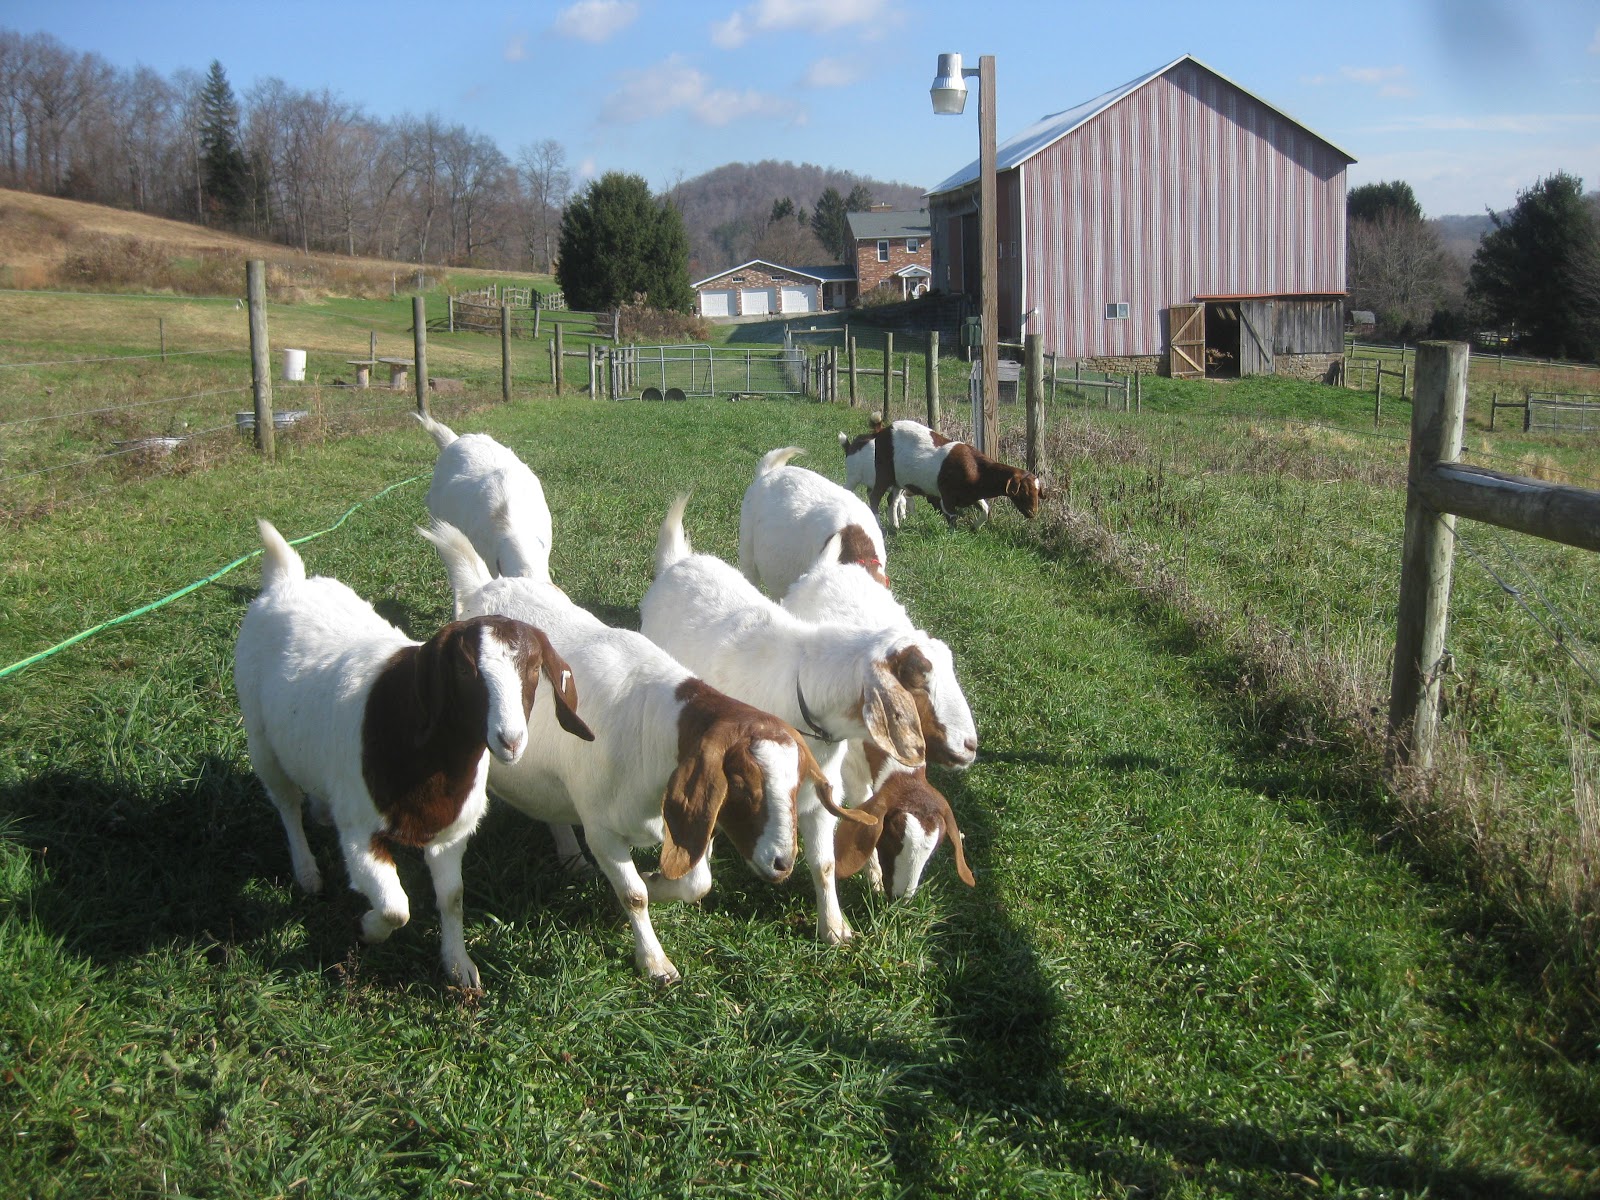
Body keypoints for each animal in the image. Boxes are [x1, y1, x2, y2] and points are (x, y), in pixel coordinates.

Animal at [233, 519, 592, 991]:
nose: (511, 739)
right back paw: (307, 871)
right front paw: (368, 928)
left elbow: (453, 897)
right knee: (286, 805)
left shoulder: (450, 833)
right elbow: (395, 908)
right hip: (260, 740)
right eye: (464, 670)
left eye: (534, 670)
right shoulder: (361, 833)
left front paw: (459, 966)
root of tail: (286, 581)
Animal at [420, 520, 869, 985]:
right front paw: (654, 961)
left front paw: (658, 881)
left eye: (796, 784)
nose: (783, 862)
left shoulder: (683, 816)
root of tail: (481, 588)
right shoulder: (603, 830)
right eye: (742, 784)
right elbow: (634, 895)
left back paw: (570, 856)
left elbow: (697, 881)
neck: (648, 726)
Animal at [640, 495, 975, 944]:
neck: (803, 685)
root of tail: (680, 562)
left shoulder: (822, 794)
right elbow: (698, 866)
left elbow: (827, 862)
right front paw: (659, 883)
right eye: (918, 677)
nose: (970, 745)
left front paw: (833, 928)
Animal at [869, 419, 1045, 530]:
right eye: (1023, 491)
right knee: (875, 498)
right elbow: (952, 519)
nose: (1033, 512)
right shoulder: (947, 496)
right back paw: (879, 526)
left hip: (899, 480)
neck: (978, 470)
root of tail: (883, 431)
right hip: (883, 473)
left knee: (892, 499)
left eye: (1038, 492)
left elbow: (986, 510)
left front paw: (975, 527)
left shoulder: (972, 494)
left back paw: (895, 526)